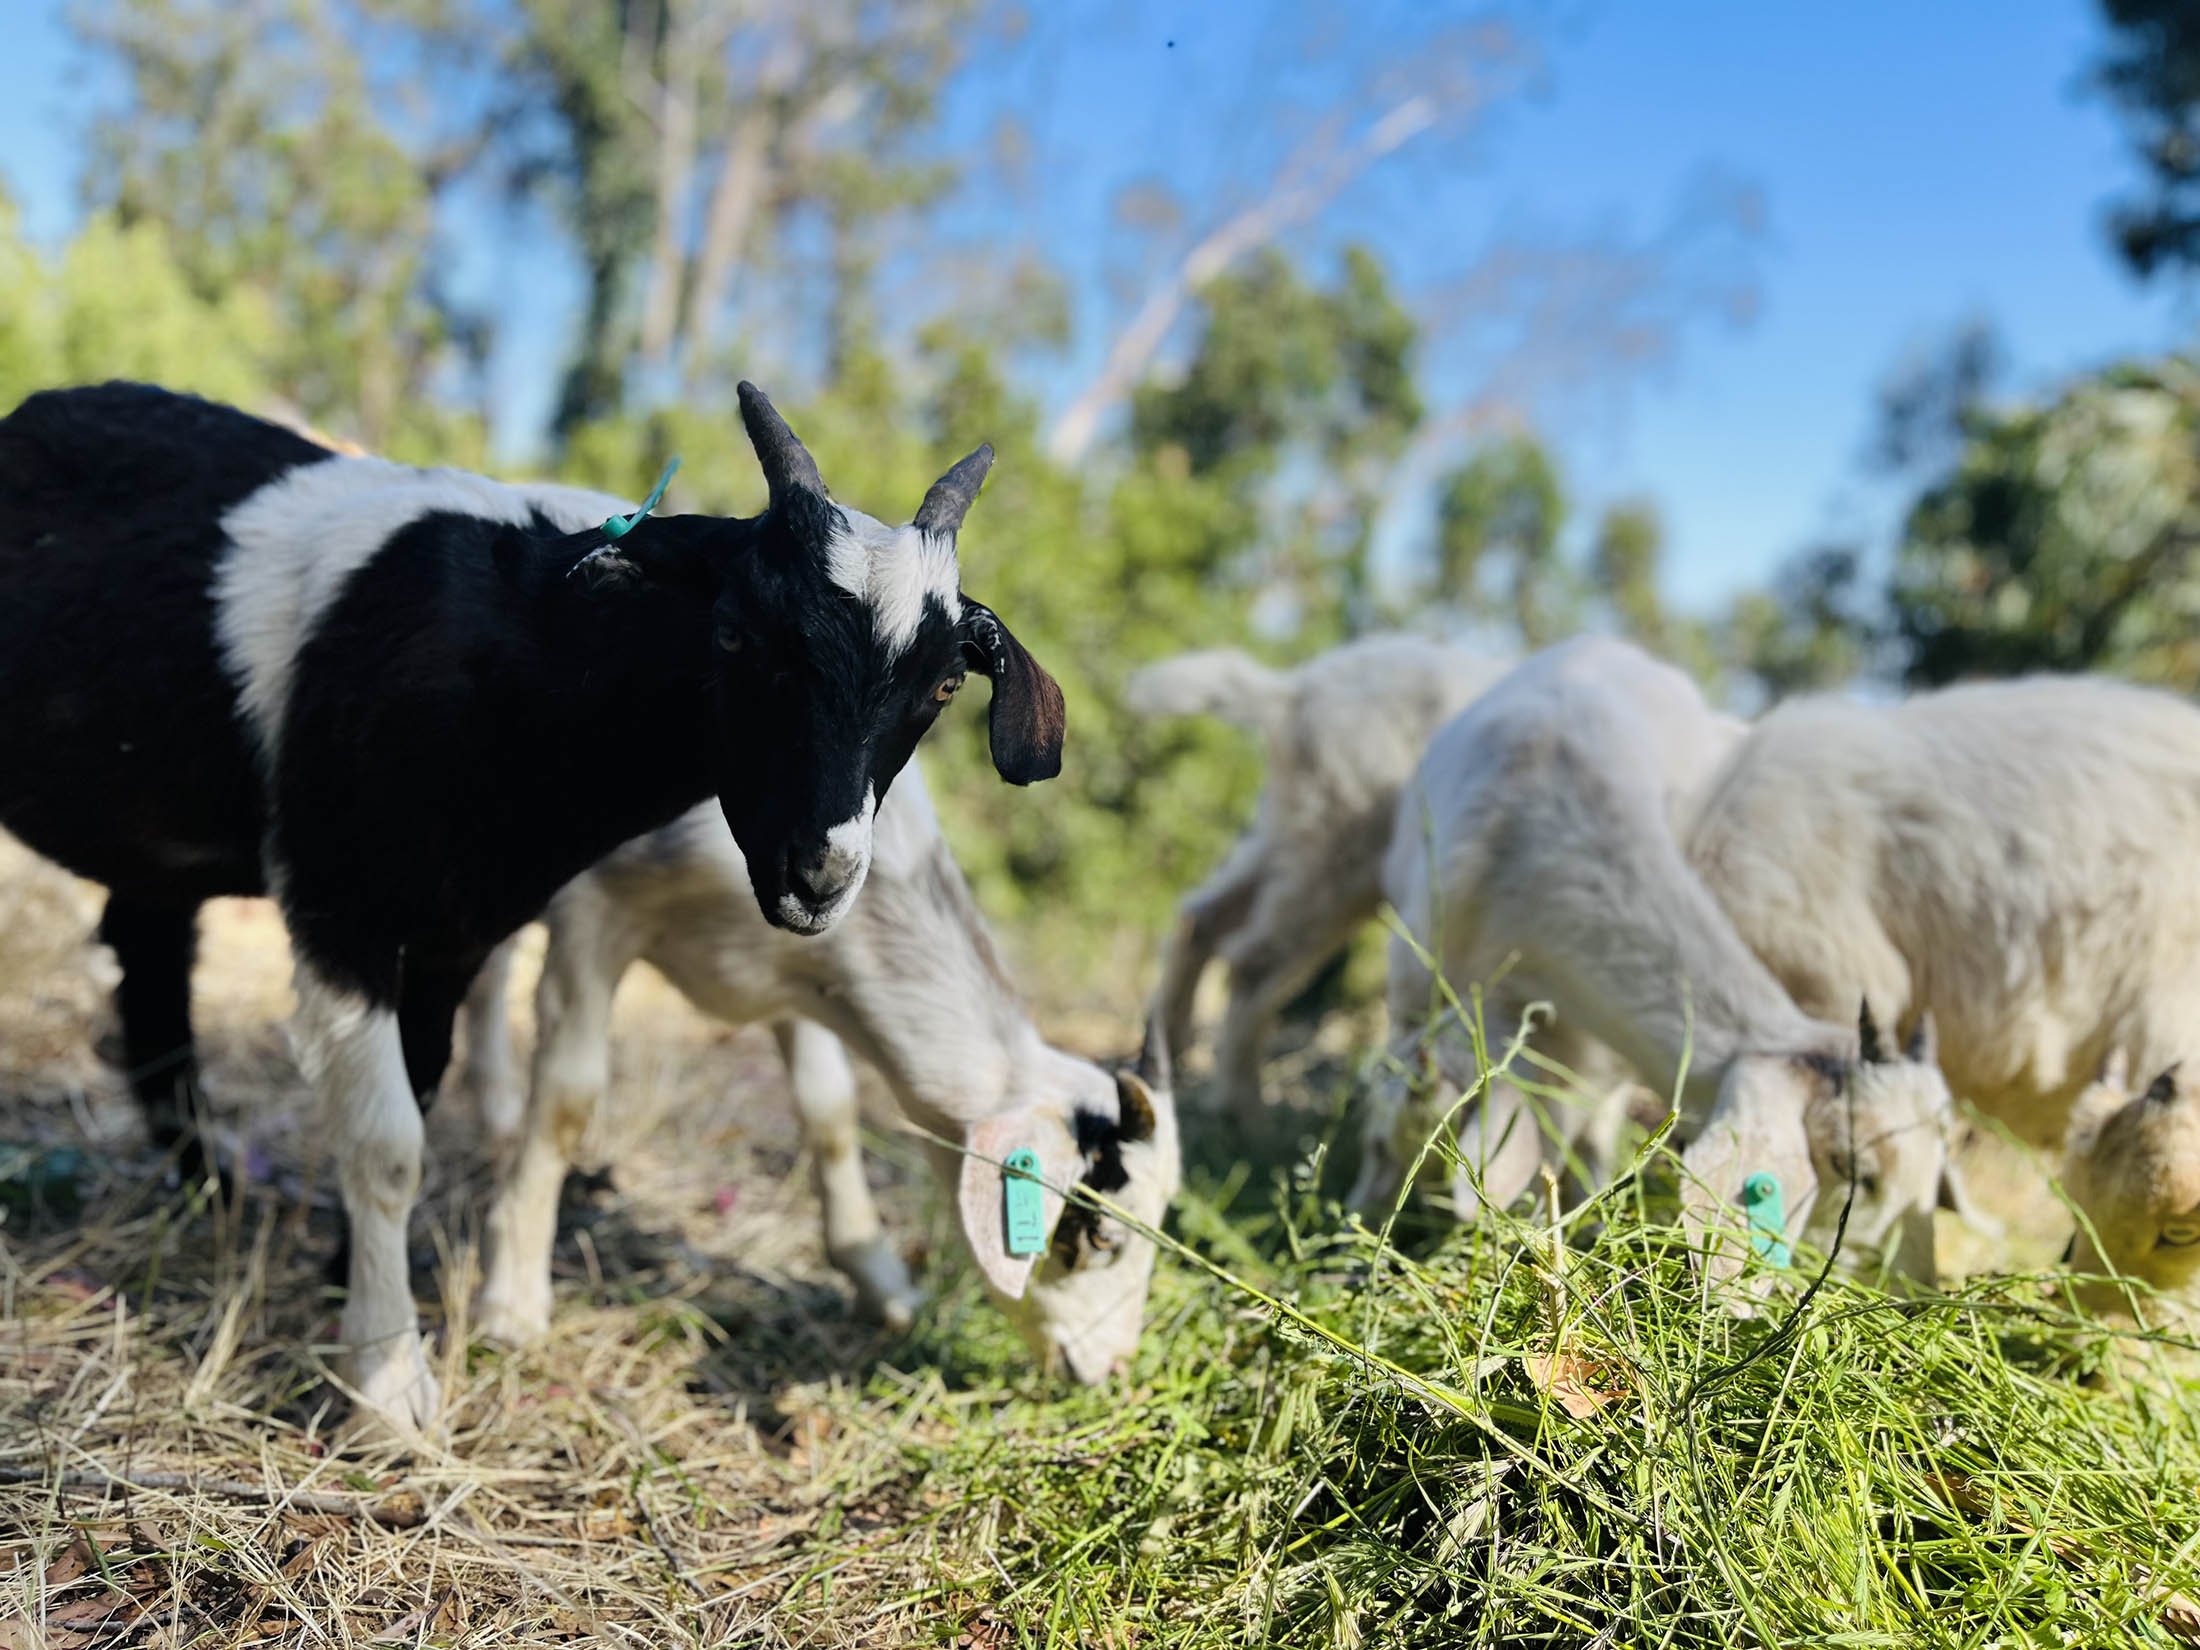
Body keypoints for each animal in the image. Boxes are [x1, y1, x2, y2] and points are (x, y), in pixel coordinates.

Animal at [0, 381, 1065, 1434]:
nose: (819, 872)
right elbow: (387, 1142)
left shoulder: (455, 924)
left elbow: (421, 1089)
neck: (518, 669)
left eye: (942, 684)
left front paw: (350, 1281)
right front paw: (388, 1385)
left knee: (149, 950)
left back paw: (207, 1189)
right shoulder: (343, 898)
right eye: (735, 631)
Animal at [455, 763, 1179, 1381]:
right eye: (1103, 1236)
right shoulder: (592, 906)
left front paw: (883, 1284)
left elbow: (828, 1113)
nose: (1116, 1371)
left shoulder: (799, 976)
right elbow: (568, 1101)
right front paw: (510, 1305)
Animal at [1128, 635, 1508, 1119]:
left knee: (1202, 917)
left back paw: (1170, 1055)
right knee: (1253, 962)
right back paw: (1244, 1111)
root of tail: (1293, 692)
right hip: (1338, 842)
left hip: (1292, 831)